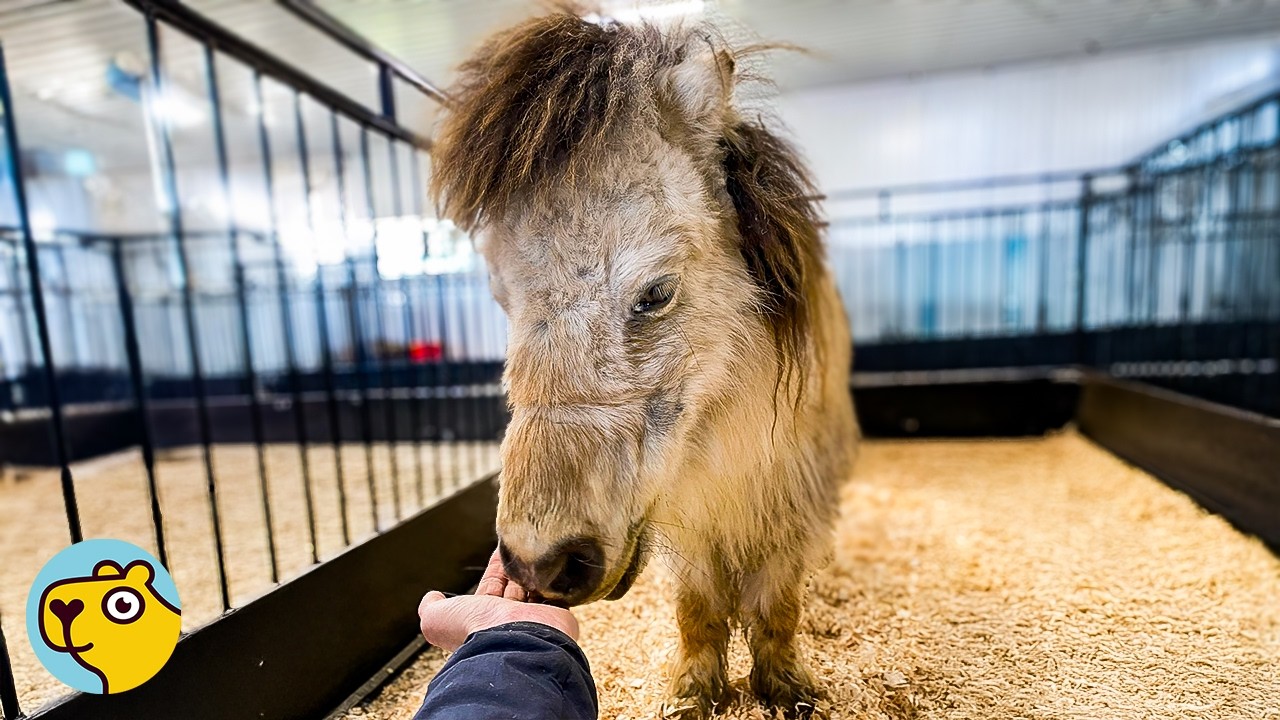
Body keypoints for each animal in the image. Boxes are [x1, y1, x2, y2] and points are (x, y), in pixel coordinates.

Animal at [429, 11, 858, 718]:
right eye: (500, 297)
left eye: (655, 293)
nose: (540, 562)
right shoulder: (690, 524)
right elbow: (699, 608)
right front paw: (694, 692)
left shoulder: (791, 507)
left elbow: (775, 606)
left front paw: (785, 690)